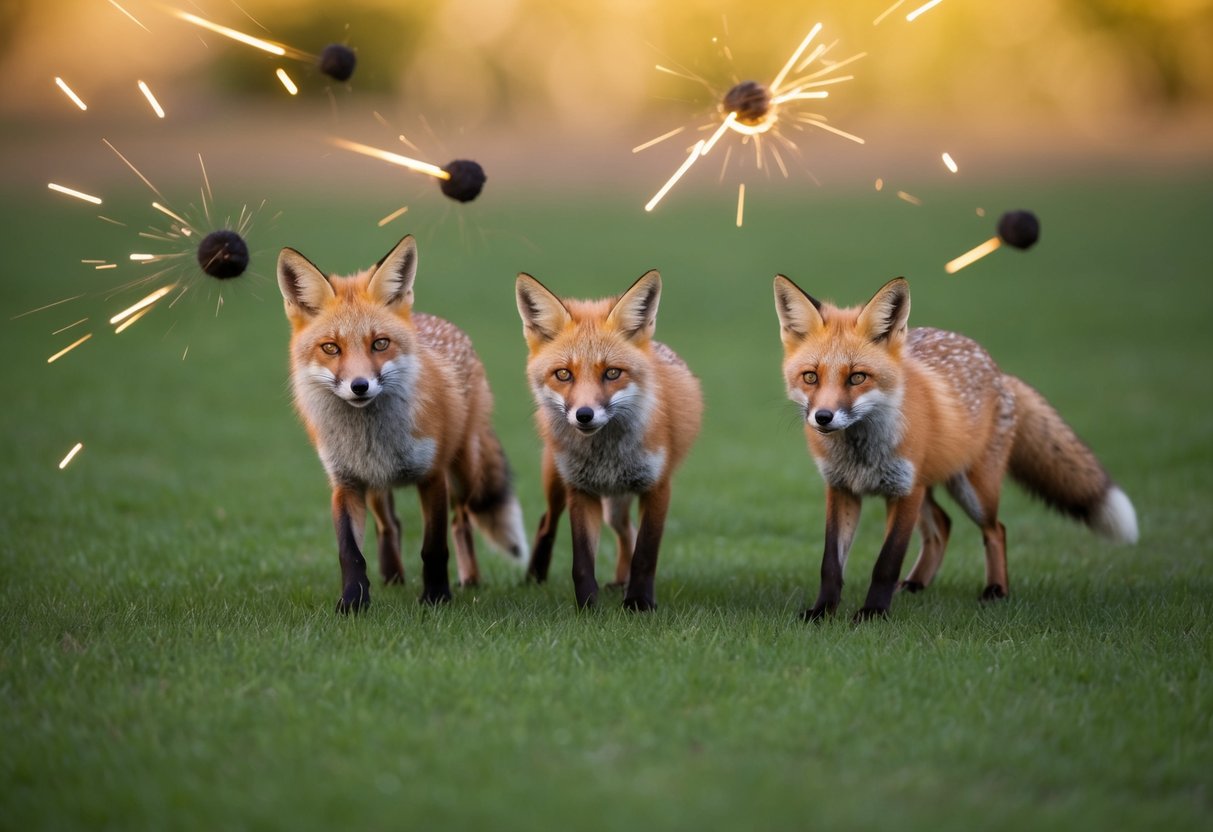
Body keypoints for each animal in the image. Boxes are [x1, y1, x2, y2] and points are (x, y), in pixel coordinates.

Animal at [277, 235, 528, 613]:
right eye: (331, 348)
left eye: (380, 343)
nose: (360, 386)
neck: (371, 436)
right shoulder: (345, 482)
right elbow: (350, 553)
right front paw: (353, 602)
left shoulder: (432, 476)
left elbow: (434, 548)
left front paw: (436, 597)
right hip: (377, 488)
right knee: (390, 524)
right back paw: (392, 575)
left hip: (464, 472)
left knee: (462, 521)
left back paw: (469, 578)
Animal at [515, 270, 703, 611]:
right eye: (563, 374)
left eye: (612, 373)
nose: (584, 415)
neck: (607, 456)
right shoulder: (580, 489)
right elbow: (581, 562)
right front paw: (588, 608)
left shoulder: (657, 486)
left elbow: (645, 553)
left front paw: (639, 604)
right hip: (559, 483)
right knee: (547, 521)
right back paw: (534, 578)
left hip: (617, 501)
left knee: (627, 531)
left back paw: (620, 582)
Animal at [773, 274, 1138, 621]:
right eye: (810, 377)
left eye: (857, 377)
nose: (823, 417)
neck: (860, 453)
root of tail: (1000, 373)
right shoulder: (842, 489)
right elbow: (830, 565)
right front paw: (822, 612)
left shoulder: (904, 492)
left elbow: (886, 563)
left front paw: (873, 614)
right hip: (926, 488)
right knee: (943, 525)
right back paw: (916, 584)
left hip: (972, 489)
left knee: (995, 530)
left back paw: (996, 590)